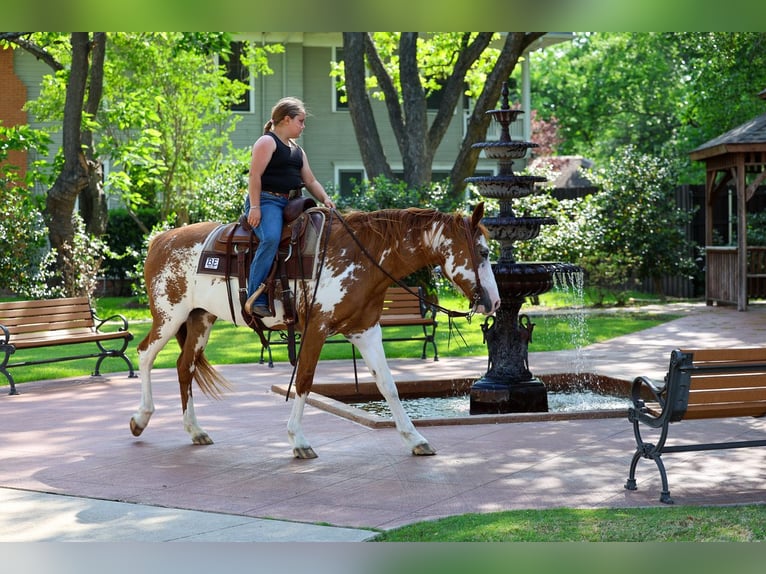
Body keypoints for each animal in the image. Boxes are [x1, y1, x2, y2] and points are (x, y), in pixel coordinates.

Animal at [129, 203, 500, 459]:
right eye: (482, 252)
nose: (495, 302)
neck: (364, 256)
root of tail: (159, 239)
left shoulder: (366, 330)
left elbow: (388, 385)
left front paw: (416, 439)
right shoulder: (317, 328)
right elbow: (305, 380)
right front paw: (299, 440)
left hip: (200, 318)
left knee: (185, 367)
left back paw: (194, 430)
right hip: (169, 316)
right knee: (145, 354)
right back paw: (141, 418)